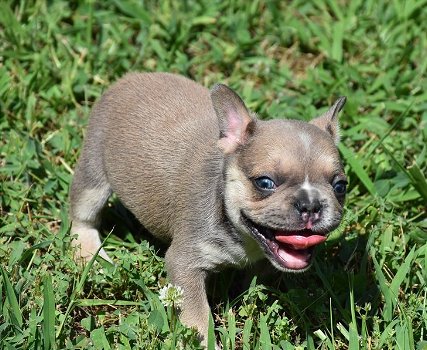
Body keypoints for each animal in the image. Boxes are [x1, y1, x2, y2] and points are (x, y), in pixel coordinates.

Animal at [67, 73, 348, 344]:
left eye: (341, 187)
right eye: (265, 182)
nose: (310, 204)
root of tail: (128, 78)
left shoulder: (263, 262)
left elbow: (254, 280)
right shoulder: (185, 264)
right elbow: (197, 314)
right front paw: (202, 340)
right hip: (93, 168)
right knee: (83, 215)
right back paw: (90, 255)